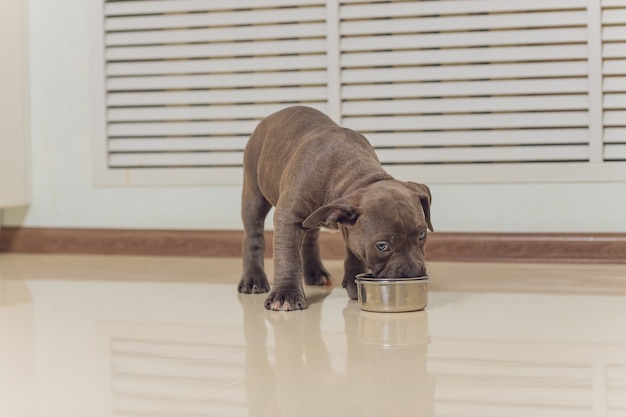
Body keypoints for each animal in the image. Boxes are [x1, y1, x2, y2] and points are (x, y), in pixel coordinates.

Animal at [236, 105, 432, 310]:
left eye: (422, 235)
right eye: (382, 246)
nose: (413, 272)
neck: (355, 173)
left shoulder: (350, 225)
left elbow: (355, 253)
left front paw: (353, 283)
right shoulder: (288, 217)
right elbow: (288, 256)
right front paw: (285, 294)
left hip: (309, 218)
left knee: (310, 240)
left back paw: (315, 272)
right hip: (253, 194)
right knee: (253, 236)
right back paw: (253, 279)